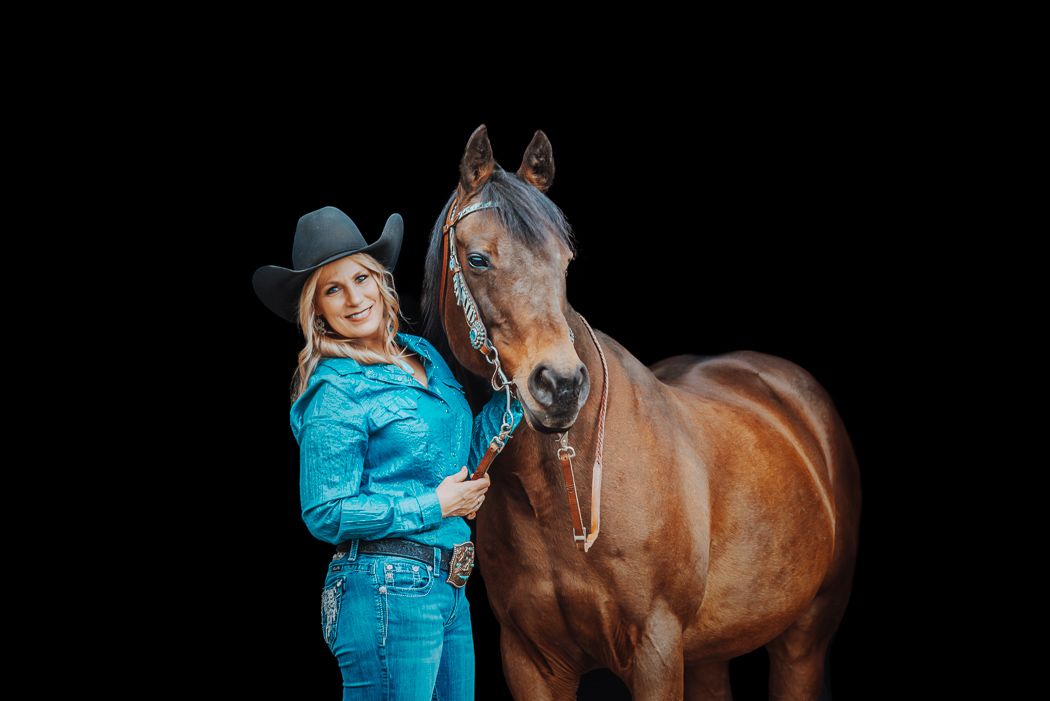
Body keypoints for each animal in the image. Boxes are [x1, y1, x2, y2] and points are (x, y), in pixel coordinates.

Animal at [421, 125, 861, 700]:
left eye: (565, 260)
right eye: (477, 259)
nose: (561, 386)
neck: (562, 494)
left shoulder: (656, 649)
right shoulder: (530, 660)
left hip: (803, 640)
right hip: (710, 654)